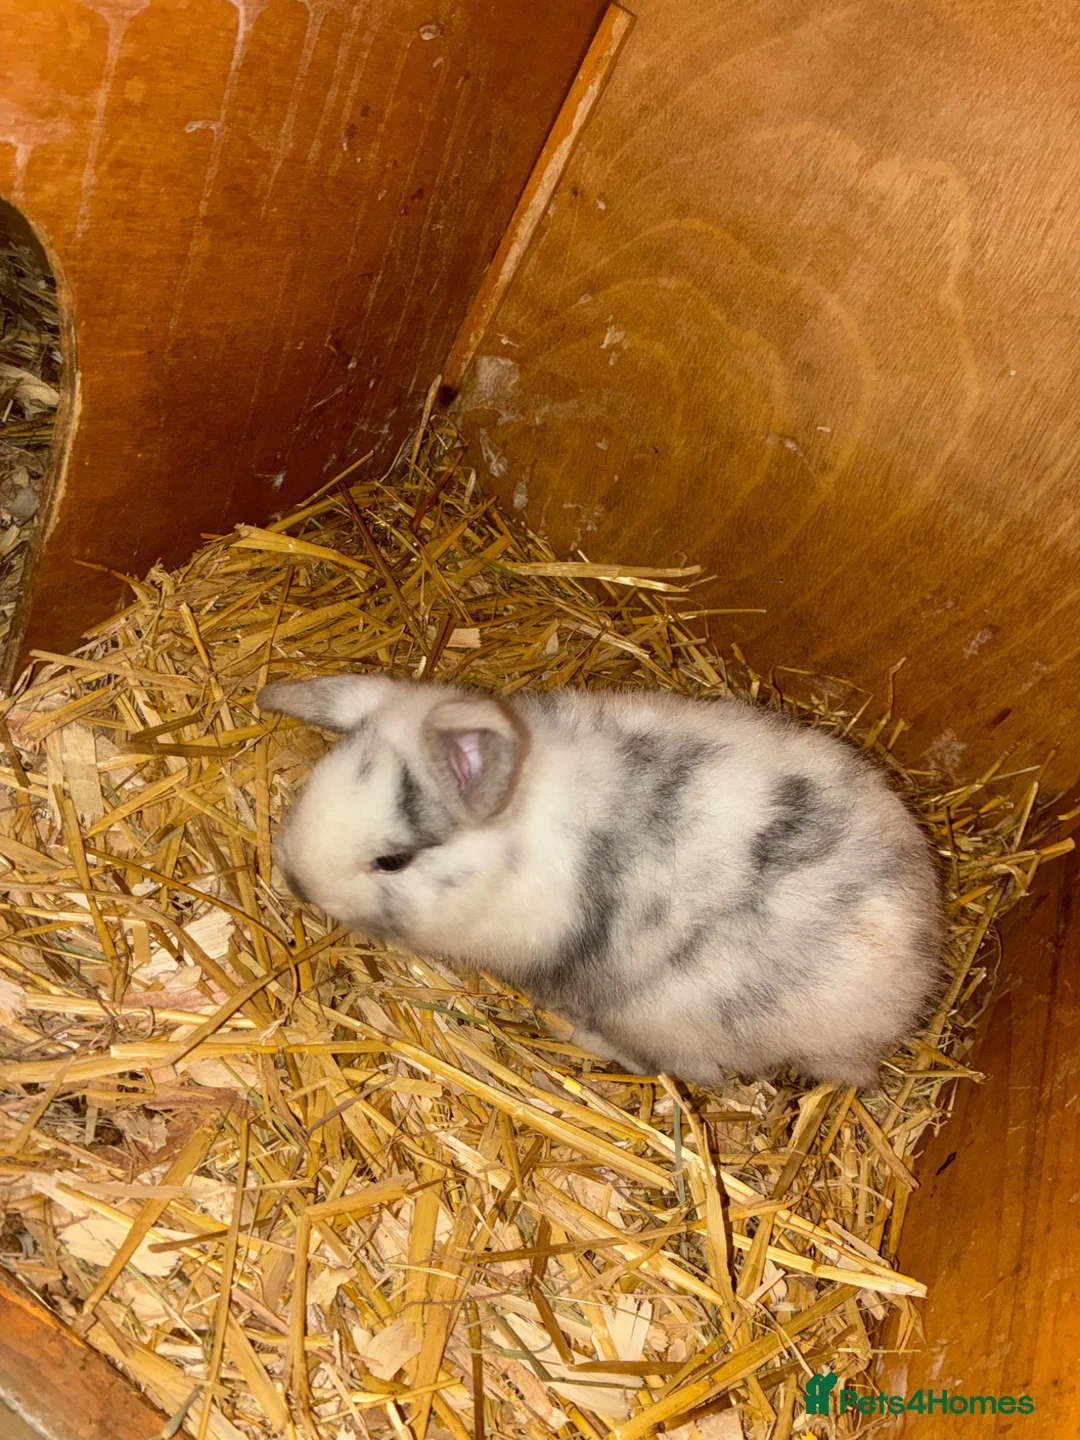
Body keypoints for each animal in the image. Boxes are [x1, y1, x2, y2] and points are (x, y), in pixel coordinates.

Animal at [257, 673, 944, 1089]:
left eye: (393, 861)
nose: (295, 878)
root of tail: (903, 998)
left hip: (665, 1016)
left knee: (682, 1070)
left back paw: (568, 1028)